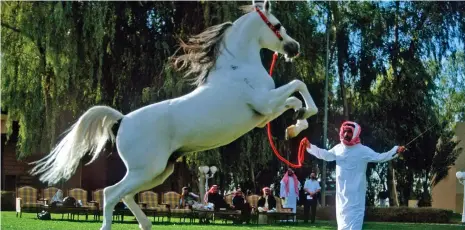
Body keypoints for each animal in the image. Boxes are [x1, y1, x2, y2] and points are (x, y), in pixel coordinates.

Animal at [29, 0, 318, 229]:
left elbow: (294, 98)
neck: (237, 68)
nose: (294, 47)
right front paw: (300, 118)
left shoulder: (263, 116)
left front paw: (295, 125)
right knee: (111, 194)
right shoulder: (265, 104)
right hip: (146, 170)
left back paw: (146, 225)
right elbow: (298, 85)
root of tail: (121, 120)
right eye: (277, 25)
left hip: (157, 172)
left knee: (125, 196)